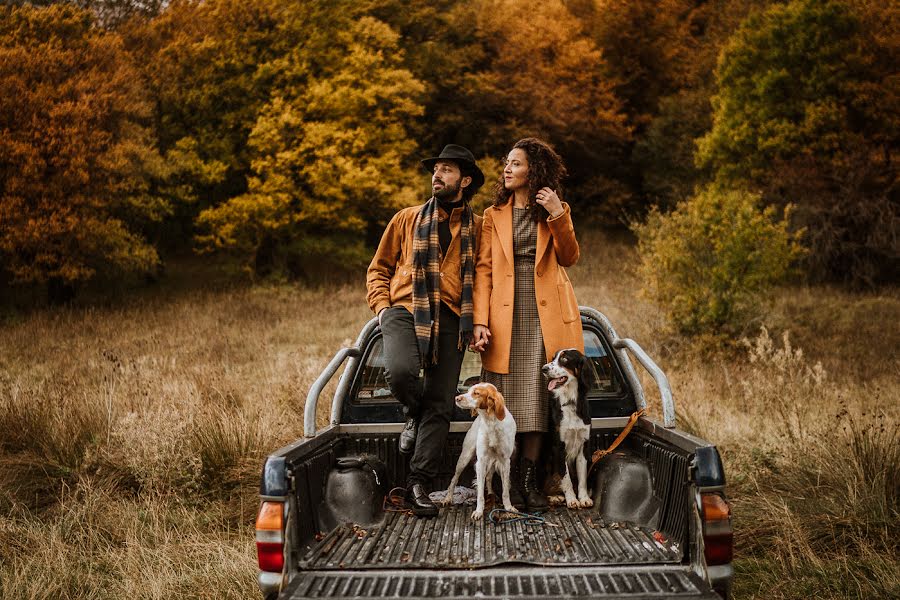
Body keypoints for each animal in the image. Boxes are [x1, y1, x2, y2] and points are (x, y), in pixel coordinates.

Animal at [440, 384, 516, 520]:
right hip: (464, 457)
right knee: (454, 479)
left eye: (476, 393)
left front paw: (508, 507)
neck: (490, 421)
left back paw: (491, 494)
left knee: (489, 478)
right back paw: (448, 498)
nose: (457, 398)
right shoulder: (481, 461)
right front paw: (479, 511)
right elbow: (480, 493)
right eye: (469, 390)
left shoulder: (505, 461)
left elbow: (505, 491)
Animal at [544, 346, 596, 506]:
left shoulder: (584, 445)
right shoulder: (559, 447)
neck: (571, 402)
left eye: (564, 359)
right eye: (553, 358)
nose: (544, 368)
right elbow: (565, 478)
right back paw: (555, 496)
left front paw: (584, 498)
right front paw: (572, 499)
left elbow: (582, 478)